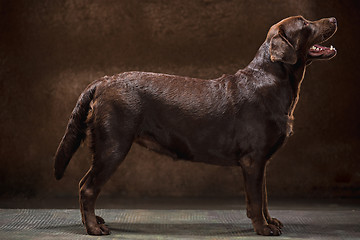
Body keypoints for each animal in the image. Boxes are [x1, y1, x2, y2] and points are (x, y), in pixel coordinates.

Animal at [53, 15, 338, 235]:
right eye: (305, 23)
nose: (334, 19)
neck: (272, 79)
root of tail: (103, 81)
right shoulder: (253, 160)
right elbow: (257, 200)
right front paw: (263, 229)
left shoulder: (262, 162)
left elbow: (264, 198)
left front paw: (270, 222)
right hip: (113, 146)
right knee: (87, 187)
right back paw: (93, 228)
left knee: (85, 185)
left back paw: (94, 221)